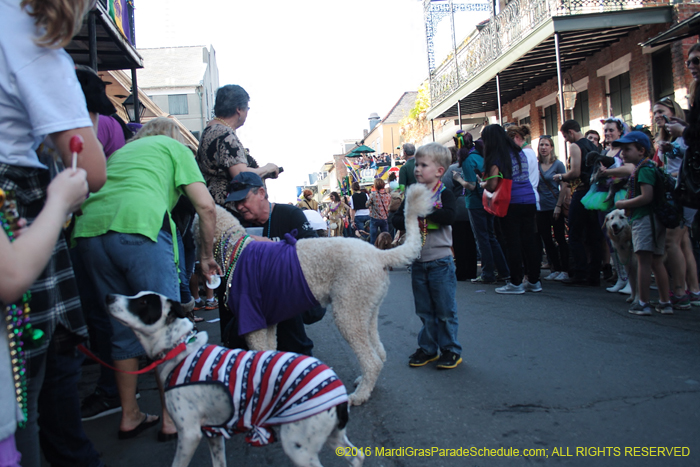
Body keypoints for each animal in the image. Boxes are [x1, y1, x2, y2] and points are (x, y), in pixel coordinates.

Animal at [108, 292, 366, 467]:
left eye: (143, 303)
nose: (110, 296)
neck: (180, 349)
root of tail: (337, 388)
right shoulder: (213, 433)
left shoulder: (189, 434)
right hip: (334, 437)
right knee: (357, 457)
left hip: (299, 447)